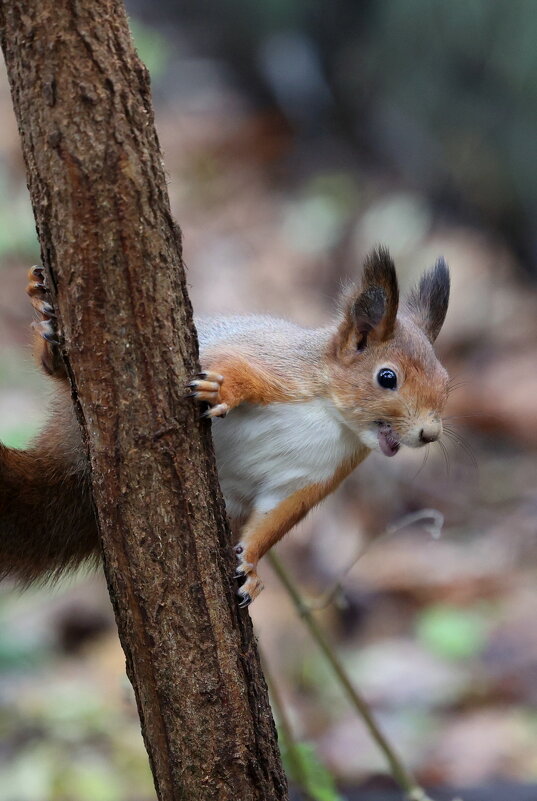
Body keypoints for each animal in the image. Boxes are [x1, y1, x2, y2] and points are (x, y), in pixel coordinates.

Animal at [0, 250, 448, 608]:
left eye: (445, 384)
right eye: (387, 378)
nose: (430, 434)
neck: (331, 418)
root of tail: (74, 457)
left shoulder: (311, 478)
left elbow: (274, 519)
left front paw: (249, 569)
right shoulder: (278, 365)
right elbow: (233, 362)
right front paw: (224, 388)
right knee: (60, 376)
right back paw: (48, 327)